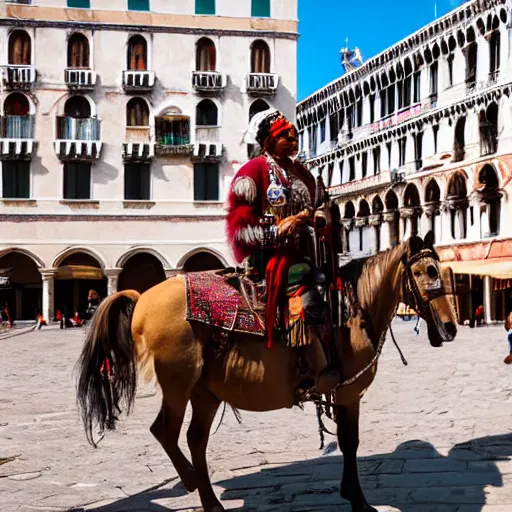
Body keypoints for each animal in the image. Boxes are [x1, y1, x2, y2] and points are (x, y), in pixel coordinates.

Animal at [75, 232, 456, 512]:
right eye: (424, 272)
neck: (352, 308)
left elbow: (350, 443)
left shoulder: (345, 393)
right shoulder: (348, 392)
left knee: (194, 439)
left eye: (439, 270)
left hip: (204, 392)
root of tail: (142, 298)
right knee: (165, 431)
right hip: (178, 384)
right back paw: (191, 482)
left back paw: (211, 503)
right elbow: (351, 443)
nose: (450, 328)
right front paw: (359, 501)